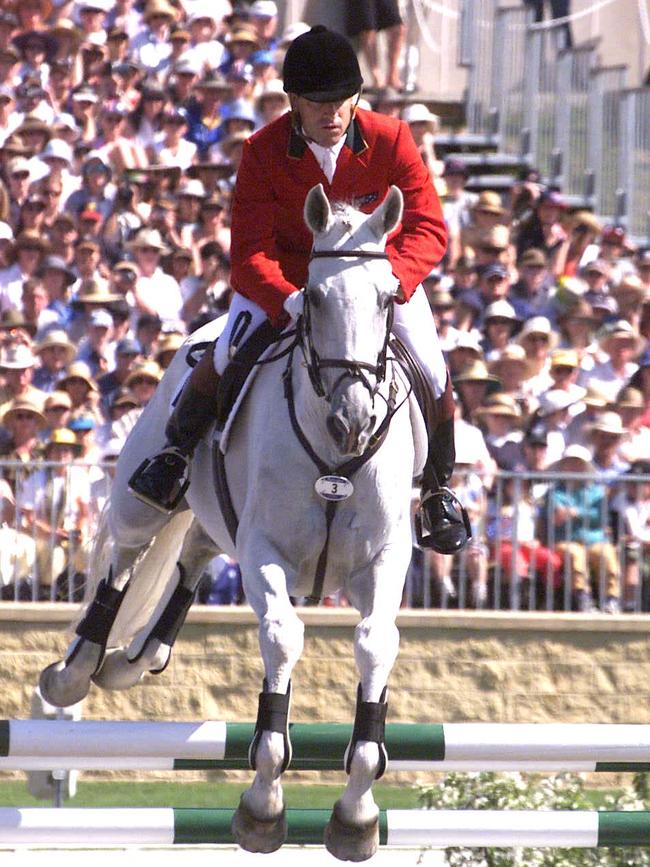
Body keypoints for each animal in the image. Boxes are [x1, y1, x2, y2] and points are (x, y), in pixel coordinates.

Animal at [41, 185, 426, 860]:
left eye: (387, 297)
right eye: (314, 296)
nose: (352, 420)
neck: (335, 458)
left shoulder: (382, 561)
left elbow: (375, 644)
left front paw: (356, 813)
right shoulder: (266, 551)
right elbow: (282, 637)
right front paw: (263, 805)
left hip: (218, 524)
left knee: (193, 553)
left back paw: (135, 660)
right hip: (147, 491)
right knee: (127, 556)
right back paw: (78, 669)